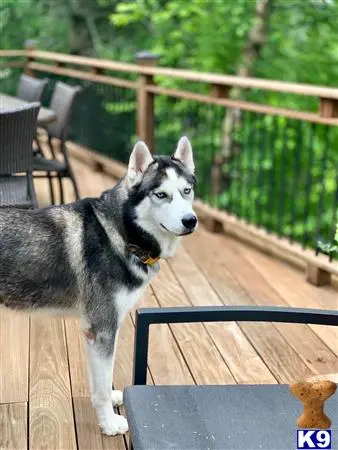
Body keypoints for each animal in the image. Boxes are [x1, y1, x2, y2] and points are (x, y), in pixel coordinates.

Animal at [0, 135, 198, 434]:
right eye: (161, 195)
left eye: (187, 191)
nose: (190, 221)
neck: (121, 233)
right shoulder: (103, 329)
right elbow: (102, 386)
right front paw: (110, 424)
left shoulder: (93, 332)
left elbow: (99, 384)